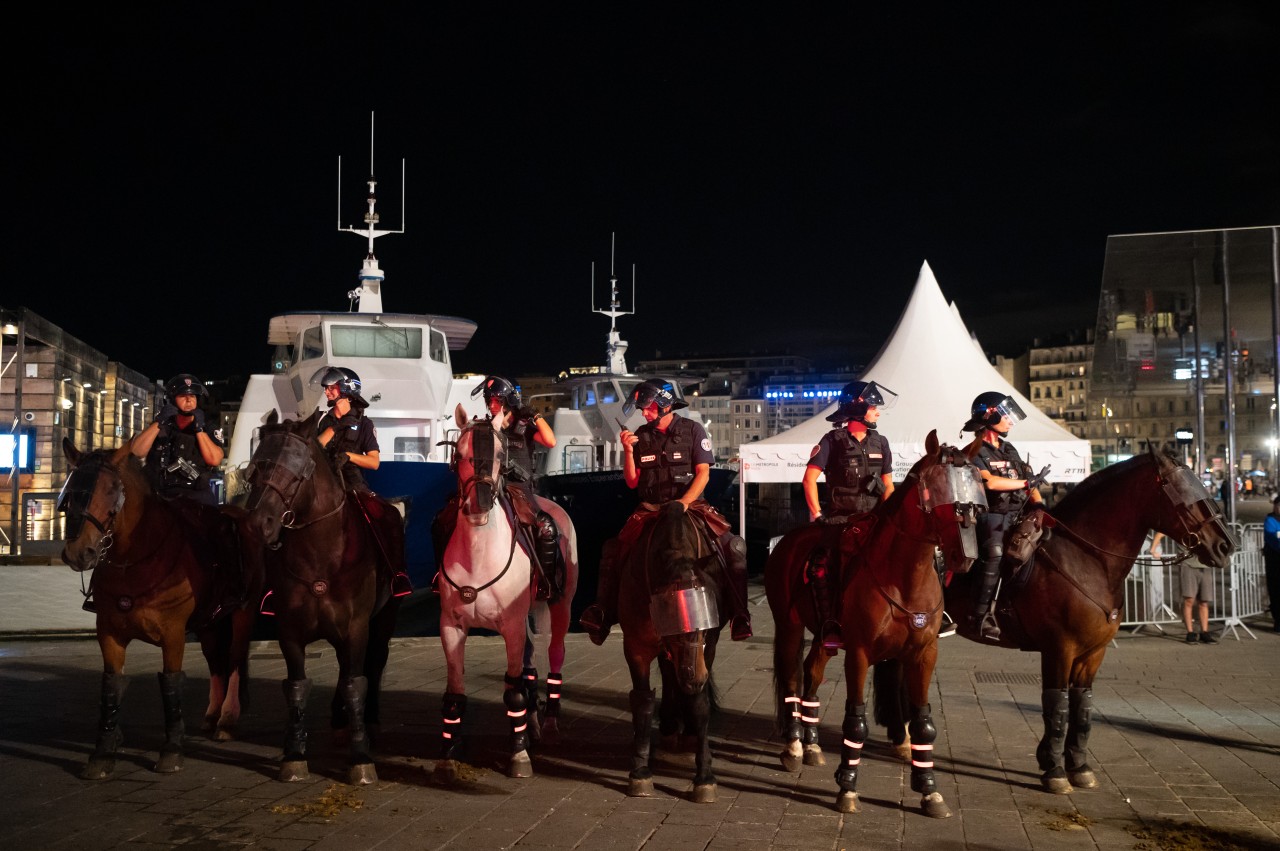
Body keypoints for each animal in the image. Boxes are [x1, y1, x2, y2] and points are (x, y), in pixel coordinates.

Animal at [59, 440, 257, 778]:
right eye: (71, 490)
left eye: (111, 490)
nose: (77, 553)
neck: (135, 557)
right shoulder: (108, 633)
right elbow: (111, 685)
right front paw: (103, 751)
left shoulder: (173, 633)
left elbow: (171, 683)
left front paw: (172, 750)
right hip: (209, 622)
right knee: (215, 661)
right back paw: (212, 714)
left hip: (240, 615)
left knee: (233, 659)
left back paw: (228, 718)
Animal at [240, 412, 399, 783]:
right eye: (256, 466)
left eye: (297, 471)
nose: (258, 523)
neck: (321, 555)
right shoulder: (289, 631)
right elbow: (297, 686)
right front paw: (294, 753)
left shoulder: (357, 628)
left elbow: (357, 684)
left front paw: (361, 756)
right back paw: (340, 722)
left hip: (383, 619)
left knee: (373, 664)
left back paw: (368, 721)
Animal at [437, 404, 583, 778]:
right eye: (460, 454)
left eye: (500, 455)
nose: (479, 505)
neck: (479, 554)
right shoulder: (451, 627)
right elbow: (455, 691)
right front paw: (449, 751)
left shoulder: (513, 626)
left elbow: (513, 691)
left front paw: (519, 753)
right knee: (530, 664)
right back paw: (532, 723)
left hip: (560, 605)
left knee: (554, 654)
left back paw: (548, 723)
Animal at [762, 432, 983, 819]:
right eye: (938, 490)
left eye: (974, 488)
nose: (966, 557)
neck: (904, 576)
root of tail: (788, 540)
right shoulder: (860, 654)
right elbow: (856, 721)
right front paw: (847, 786)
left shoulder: (924, 654)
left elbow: (923, 722)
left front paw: (929, 790)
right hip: (789, 627)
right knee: (791, 677)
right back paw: (793, 746)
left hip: (825, 635)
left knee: (812, 673)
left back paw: (812, 743)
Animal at [942, 447, 1228, 793]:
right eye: (1180, 490)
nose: (1226, 544)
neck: (1086, 560)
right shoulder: (1059, 649)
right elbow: (1056, 705)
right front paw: (1054, 770)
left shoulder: (1092, 653)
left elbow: (1081, 706)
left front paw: (1077, 765)